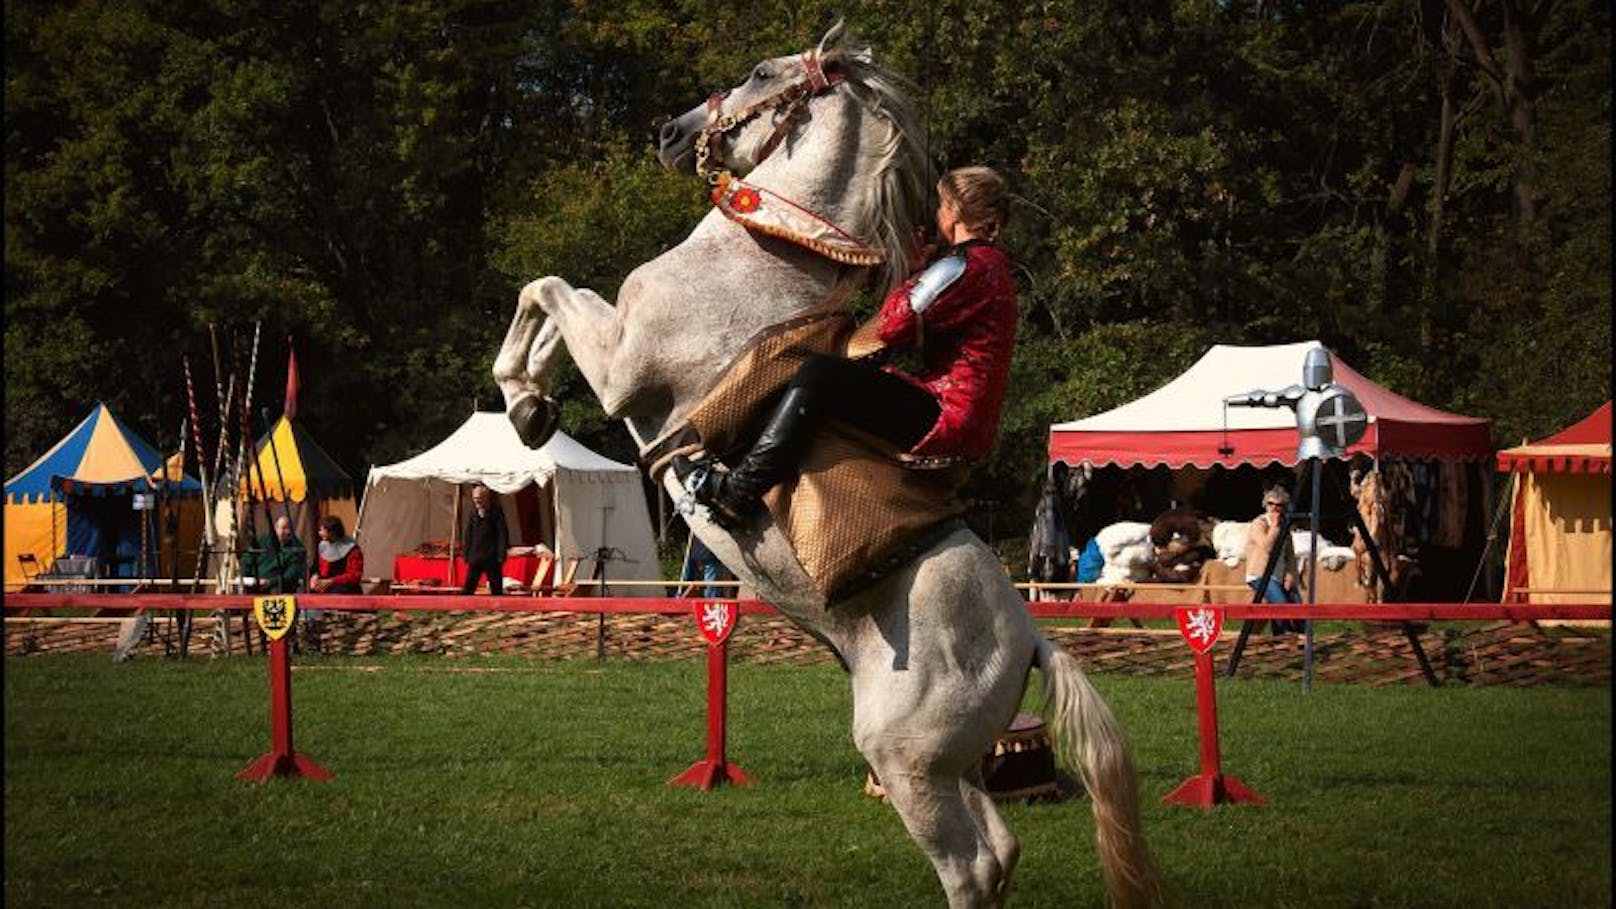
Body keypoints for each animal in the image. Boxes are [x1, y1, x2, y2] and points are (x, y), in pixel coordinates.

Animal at [491, 23, 1163, 905]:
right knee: (1000, 850)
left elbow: (545, 288)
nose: (670, 133)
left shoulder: (623, 363)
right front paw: (532, 406)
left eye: (758, 72)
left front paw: (523, 397)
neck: (765, 255)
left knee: (972, 865)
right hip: (955, 768)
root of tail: (1030, 640)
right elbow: (545, 295)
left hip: (907, 762)